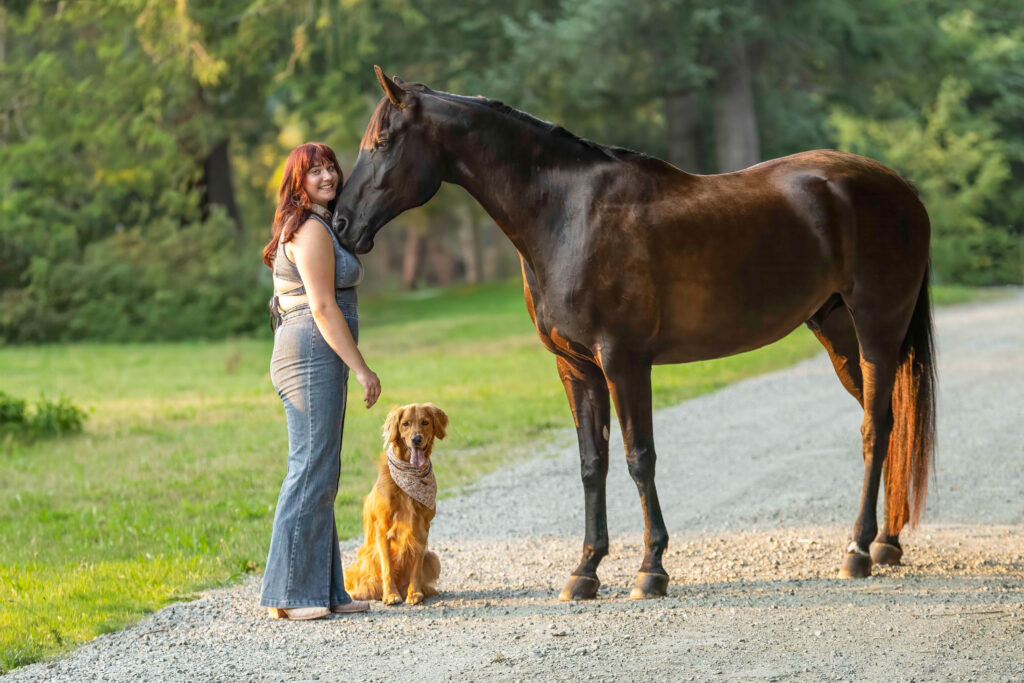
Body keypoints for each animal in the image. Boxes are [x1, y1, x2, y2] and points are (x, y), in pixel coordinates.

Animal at [335, 66, 937, 602]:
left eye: (382, 142)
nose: (341, 223)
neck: (567, 216)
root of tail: (901, 188)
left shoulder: (624, 361)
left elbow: (638, 457)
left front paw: (651, 569)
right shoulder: (576, 367)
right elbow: (592, 463)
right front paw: (585, 571)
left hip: (876, 329)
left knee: (876, 428)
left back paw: (858, 549)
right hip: (837, 333)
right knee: (887, 422)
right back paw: (886, 542)